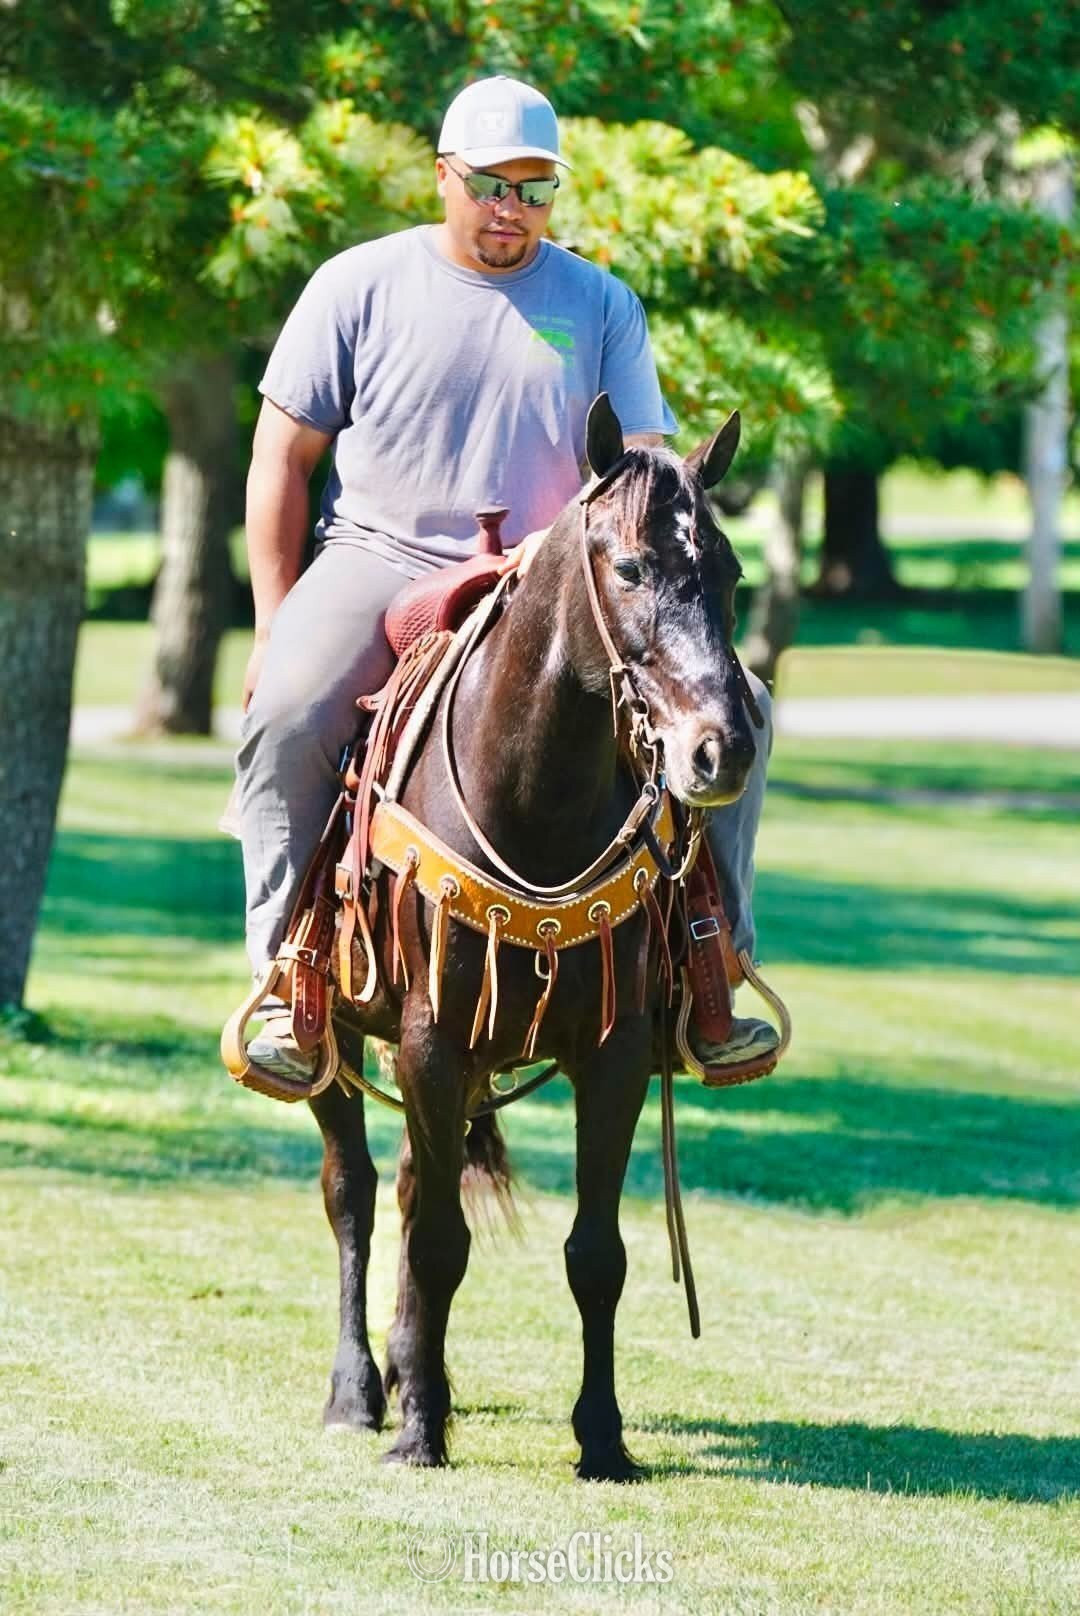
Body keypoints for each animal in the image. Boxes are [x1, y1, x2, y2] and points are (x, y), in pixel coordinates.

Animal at [306, 394, 759, 1480]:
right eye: (629, 568)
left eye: (728, 572)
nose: (721, 750)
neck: (530, 799)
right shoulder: (430, 1037)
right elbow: (434, 1240)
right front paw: (419, 1429)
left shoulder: (616, 1052)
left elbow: (595, 1252)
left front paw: (603, 1436)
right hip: (337, 1036)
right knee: (355, 1192)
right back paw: (361, 1389)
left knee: (413, 1187)